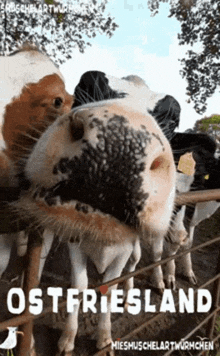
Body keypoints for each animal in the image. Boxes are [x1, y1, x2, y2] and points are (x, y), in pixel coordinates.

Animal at [5, 70, 178, 356]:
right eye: (86, 85)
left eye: (173, 119)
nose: (119, 144)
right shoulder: (76, 243)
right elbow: (80, 285)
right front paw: (68, 338)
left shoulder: (123, 249)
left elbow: (110, 286)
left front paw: (104, 338)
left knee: (136, 260)